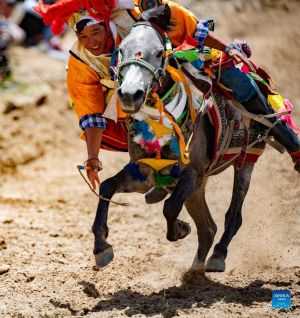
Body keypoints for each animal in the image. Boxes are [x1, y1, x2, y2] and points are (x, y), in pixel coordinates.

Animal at [92, 4, 268, 272]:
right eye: (121, 49)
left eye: (158, 53)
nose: (130, 94)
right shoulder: (144, 173)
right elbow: (106, 186)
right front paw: (101, 247)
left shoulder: (192, 172)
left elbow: (170, 207)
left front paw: (180, 229)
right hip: (199, 187)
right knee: (208, 227)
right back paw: (195, 270)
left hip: (246, 160)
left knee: (232, 216)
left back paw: (217, 256)